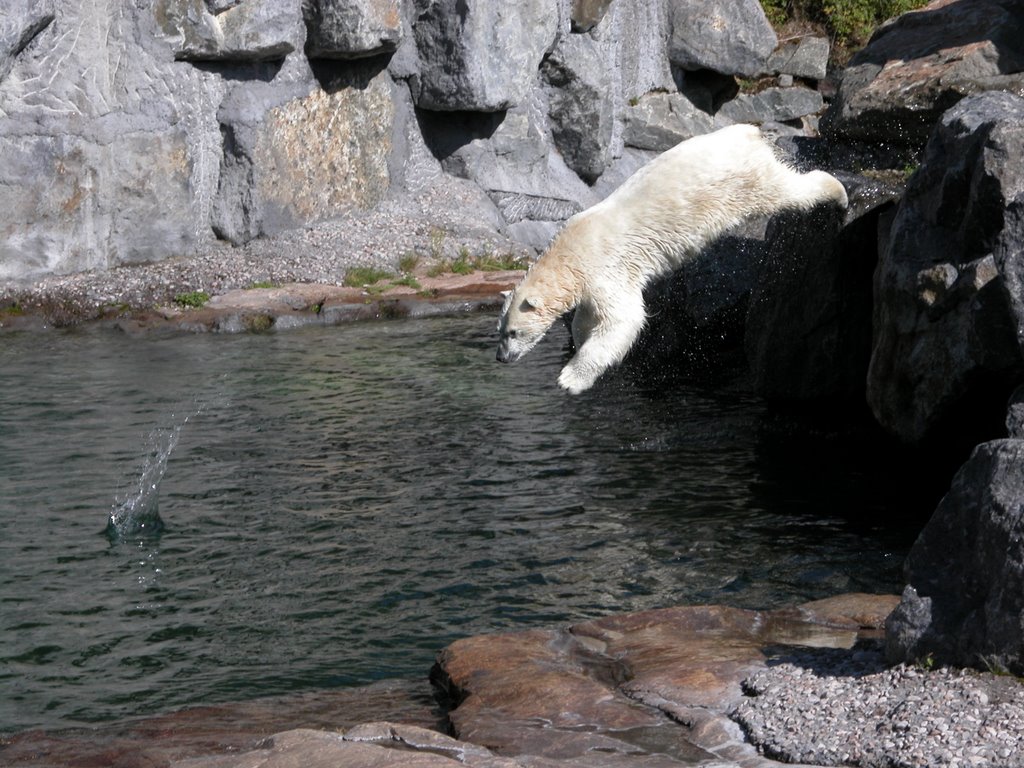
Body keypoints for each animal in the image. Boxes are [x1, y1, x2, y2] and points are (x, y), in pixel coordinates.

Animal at [495, 123, 847, 397]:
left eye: (512, 333)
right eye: (500, 330)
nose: (500, 358)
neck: (570, 253)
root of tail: (747, 132)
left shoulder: (607, 268)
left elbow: (624, 320)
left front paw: (570, 380)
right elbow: (587, 318)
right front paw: (579, 341)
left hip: (744, 182)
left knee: (787, 191)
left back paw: (839, 193)